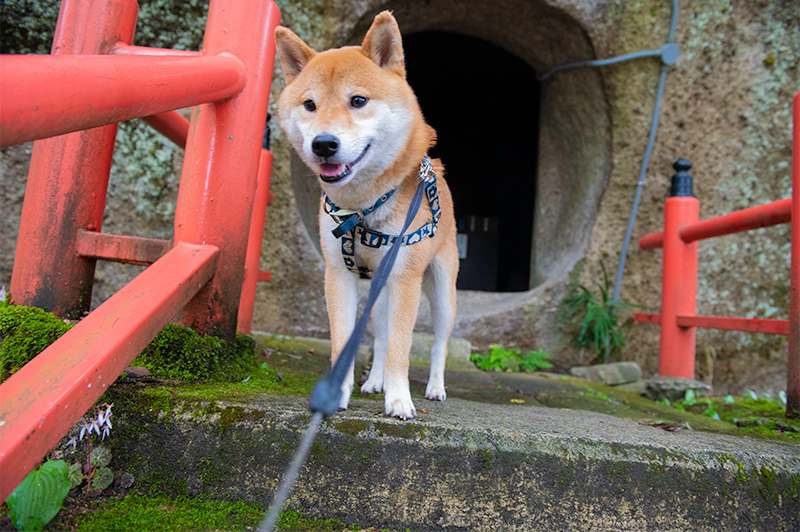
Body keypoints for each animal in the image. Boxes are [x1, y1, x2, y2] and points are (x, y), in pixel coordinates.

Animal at [276, 10, 460, 420]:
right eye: (309, 105)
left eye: (358, 100)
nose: (323, 144)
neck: (362, 209)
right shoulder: (338, 274)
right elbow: (346, 341)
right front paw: (337, 394)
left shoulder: (405, 279)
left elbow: (401, 348)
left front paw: (400, 399)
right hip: (379, 291)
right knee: (379, 335)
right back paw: (375, 381)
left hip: (442, 292)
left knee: (439, 343)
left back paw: (436, 388)